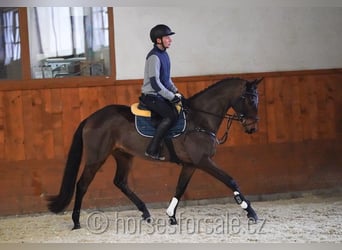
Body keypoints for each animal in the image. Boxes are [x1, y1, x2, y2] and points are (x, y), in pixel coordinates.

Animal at [46, 77, 264, 229]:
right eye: (249, 99)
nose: (252, 127)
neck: (200, 118)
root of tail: (90, 118)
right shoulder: (203, 161)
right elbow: (231, 180)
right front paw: (250, 212)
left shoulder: (190, 164)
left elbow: (180, 188)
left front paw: (171, 215)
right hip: (96, 158)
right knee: (82, 185)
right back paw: (76, 221)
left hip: (123, 155)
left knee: (120, 182)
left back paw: (145, 212)